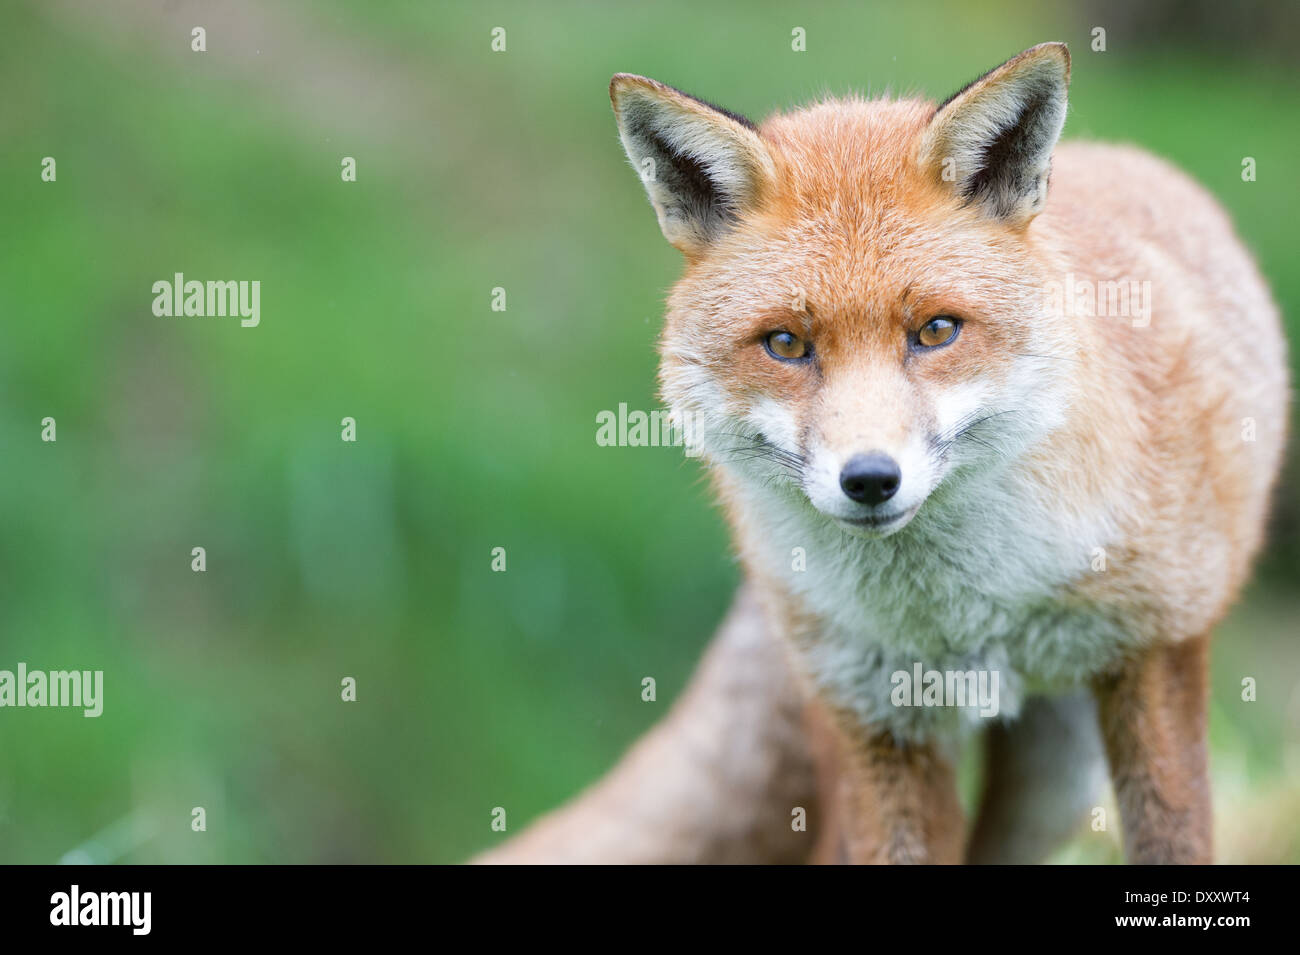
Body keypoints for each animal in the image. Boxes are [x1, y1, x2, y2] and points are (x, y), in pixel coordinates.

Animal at [480, 44, 1289, 867]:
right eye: (785, 344)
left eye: (935, 330)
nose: (869, 479)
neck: (960, 613)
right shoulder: (876, 718)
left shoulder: (1160, 648)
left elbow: (1175, 839)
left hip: (1062, 777)